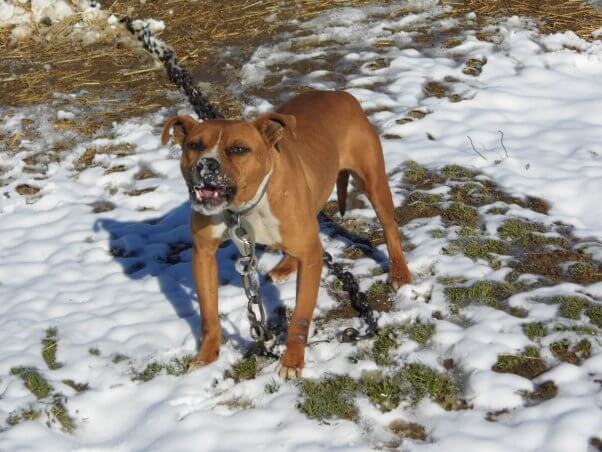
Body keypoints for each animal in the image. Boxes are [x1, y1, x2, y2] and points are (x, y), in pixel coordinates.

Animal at [162, 90, 410, 380]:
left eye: (238, 149)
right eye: (195, 145)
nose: (206, 164)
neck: (243, 208)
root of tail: (342, 94)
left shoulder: (311, 256)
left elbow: (300, 317)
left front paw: (292, 360)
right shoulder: (203, 253)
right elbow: (208, 314)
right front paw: (206, 356)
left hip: (374, 183)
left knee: (390, 227)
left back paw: (400, 272)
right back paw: (286, 265)